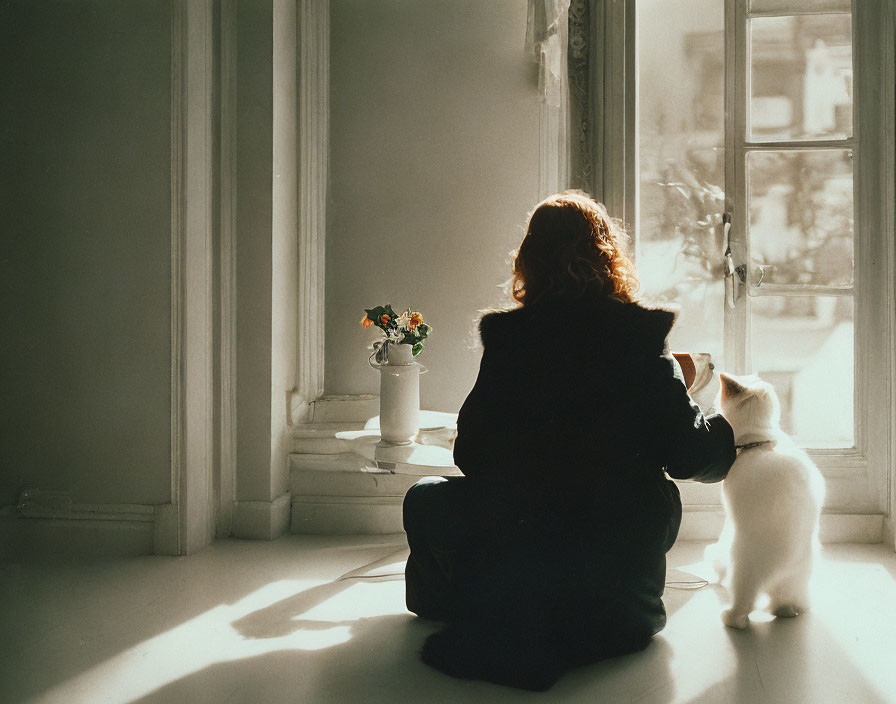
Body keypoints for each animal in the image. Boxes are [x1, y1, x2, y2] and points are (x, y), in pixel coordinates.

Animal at [708, 372, 824, 628]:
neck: (761, 443)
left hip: (742, 567)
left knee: (744, 606)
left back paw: (731, 618)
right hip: (798, 578)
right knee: (788, 602)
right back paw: (789, 611)